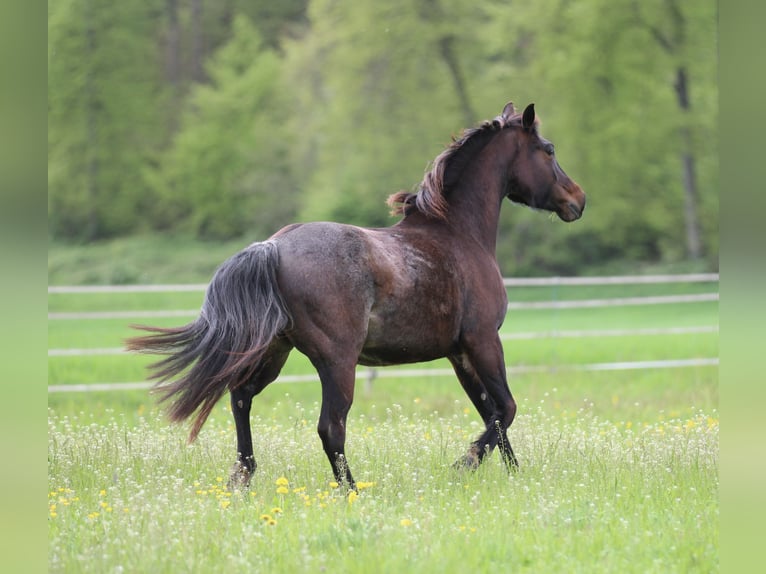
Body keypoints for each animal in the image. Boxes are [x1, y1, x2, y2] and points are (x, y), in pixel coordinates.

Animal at [126, 102, 586, 490]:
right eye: (548, 150)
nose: (578, 200)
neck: (457, 234)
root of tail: (272, 246)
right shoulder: (483, 340)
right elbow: (505, 409)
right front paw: (465, 464)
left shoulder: (459, 352)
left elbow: (492, 412)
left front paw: (513, 476)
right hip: (337, 360)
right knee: (330, 426)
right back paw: (351, 491)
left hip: (275, 350)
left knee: (241, 397)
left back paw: (242, 478)